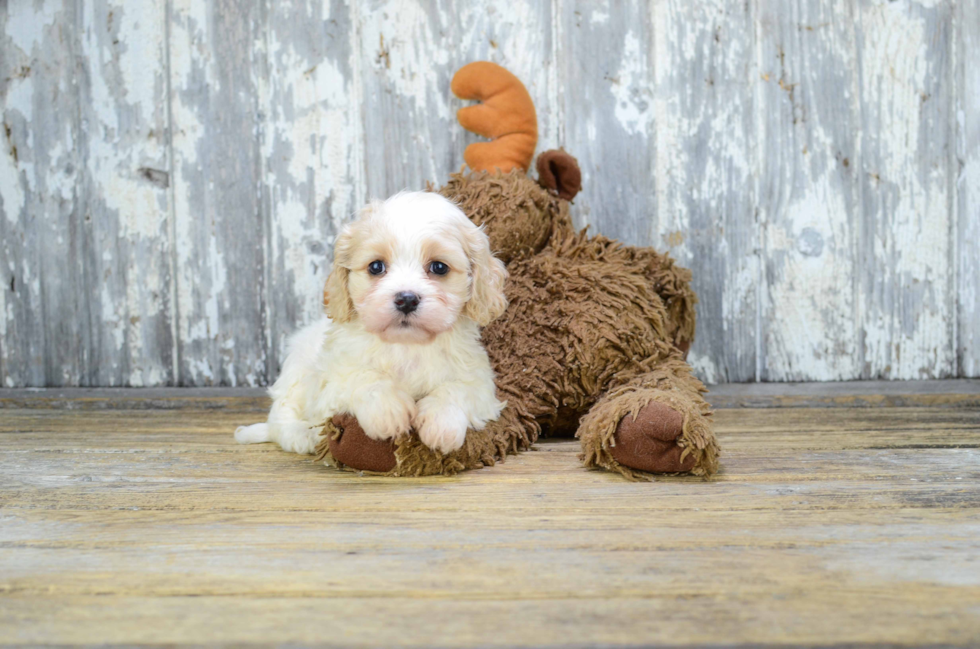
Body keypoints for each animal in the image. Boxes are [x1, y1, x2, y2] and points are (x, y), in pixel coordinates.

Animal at [234, 191, 510, 456]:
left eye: (439, 267)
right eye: (376, 266)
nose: (406, 299)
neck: (406, 345)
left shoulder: (479, 382)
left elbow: (457, 390)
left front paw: (442, 425)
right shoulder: (332, 380)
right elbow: (363, 377)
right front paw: (388, 412)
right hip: (297, 371)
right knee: (282, 415)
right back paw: (304, 436)